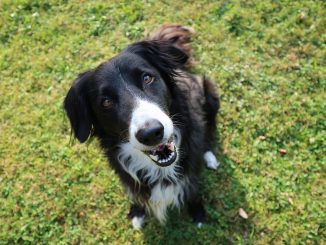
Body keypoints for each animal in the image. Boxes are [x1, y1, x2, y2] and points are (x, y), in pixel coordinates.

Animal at [63, 23, 220, 229]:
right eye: (106, 102)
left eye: (147, 78)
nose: (151, 133)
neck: (159, 169)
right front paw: (137, 212)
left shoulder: (191, 171)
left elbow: (192, 189)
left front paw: (197, 212)